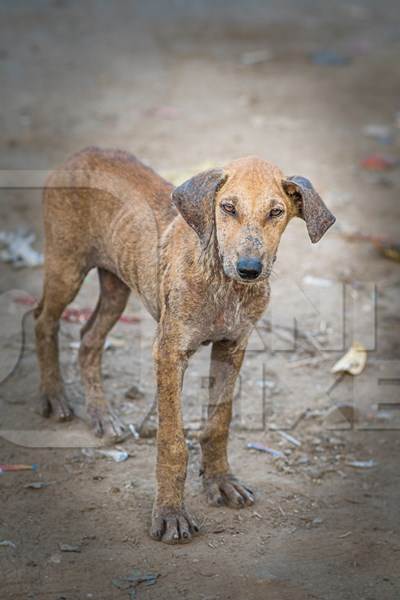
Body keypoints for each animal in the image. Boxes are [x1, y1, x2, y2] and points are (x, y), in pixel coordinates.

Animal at [35, 146, 334, 544]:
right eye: (227, 207)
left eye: (276, 212)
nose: (249, 269)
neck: (222, 283)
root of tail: (82, 153)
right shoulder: (169, 352)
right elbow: (172, 442)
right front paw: (170, 514)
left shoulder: (232, 348)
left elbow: (219, 422)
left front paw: (221, 481)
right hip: (66, 266)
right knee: (43, 321)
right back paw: (54, 398)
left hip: (116, 284)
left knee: (88, 340)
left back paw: (102, 415)